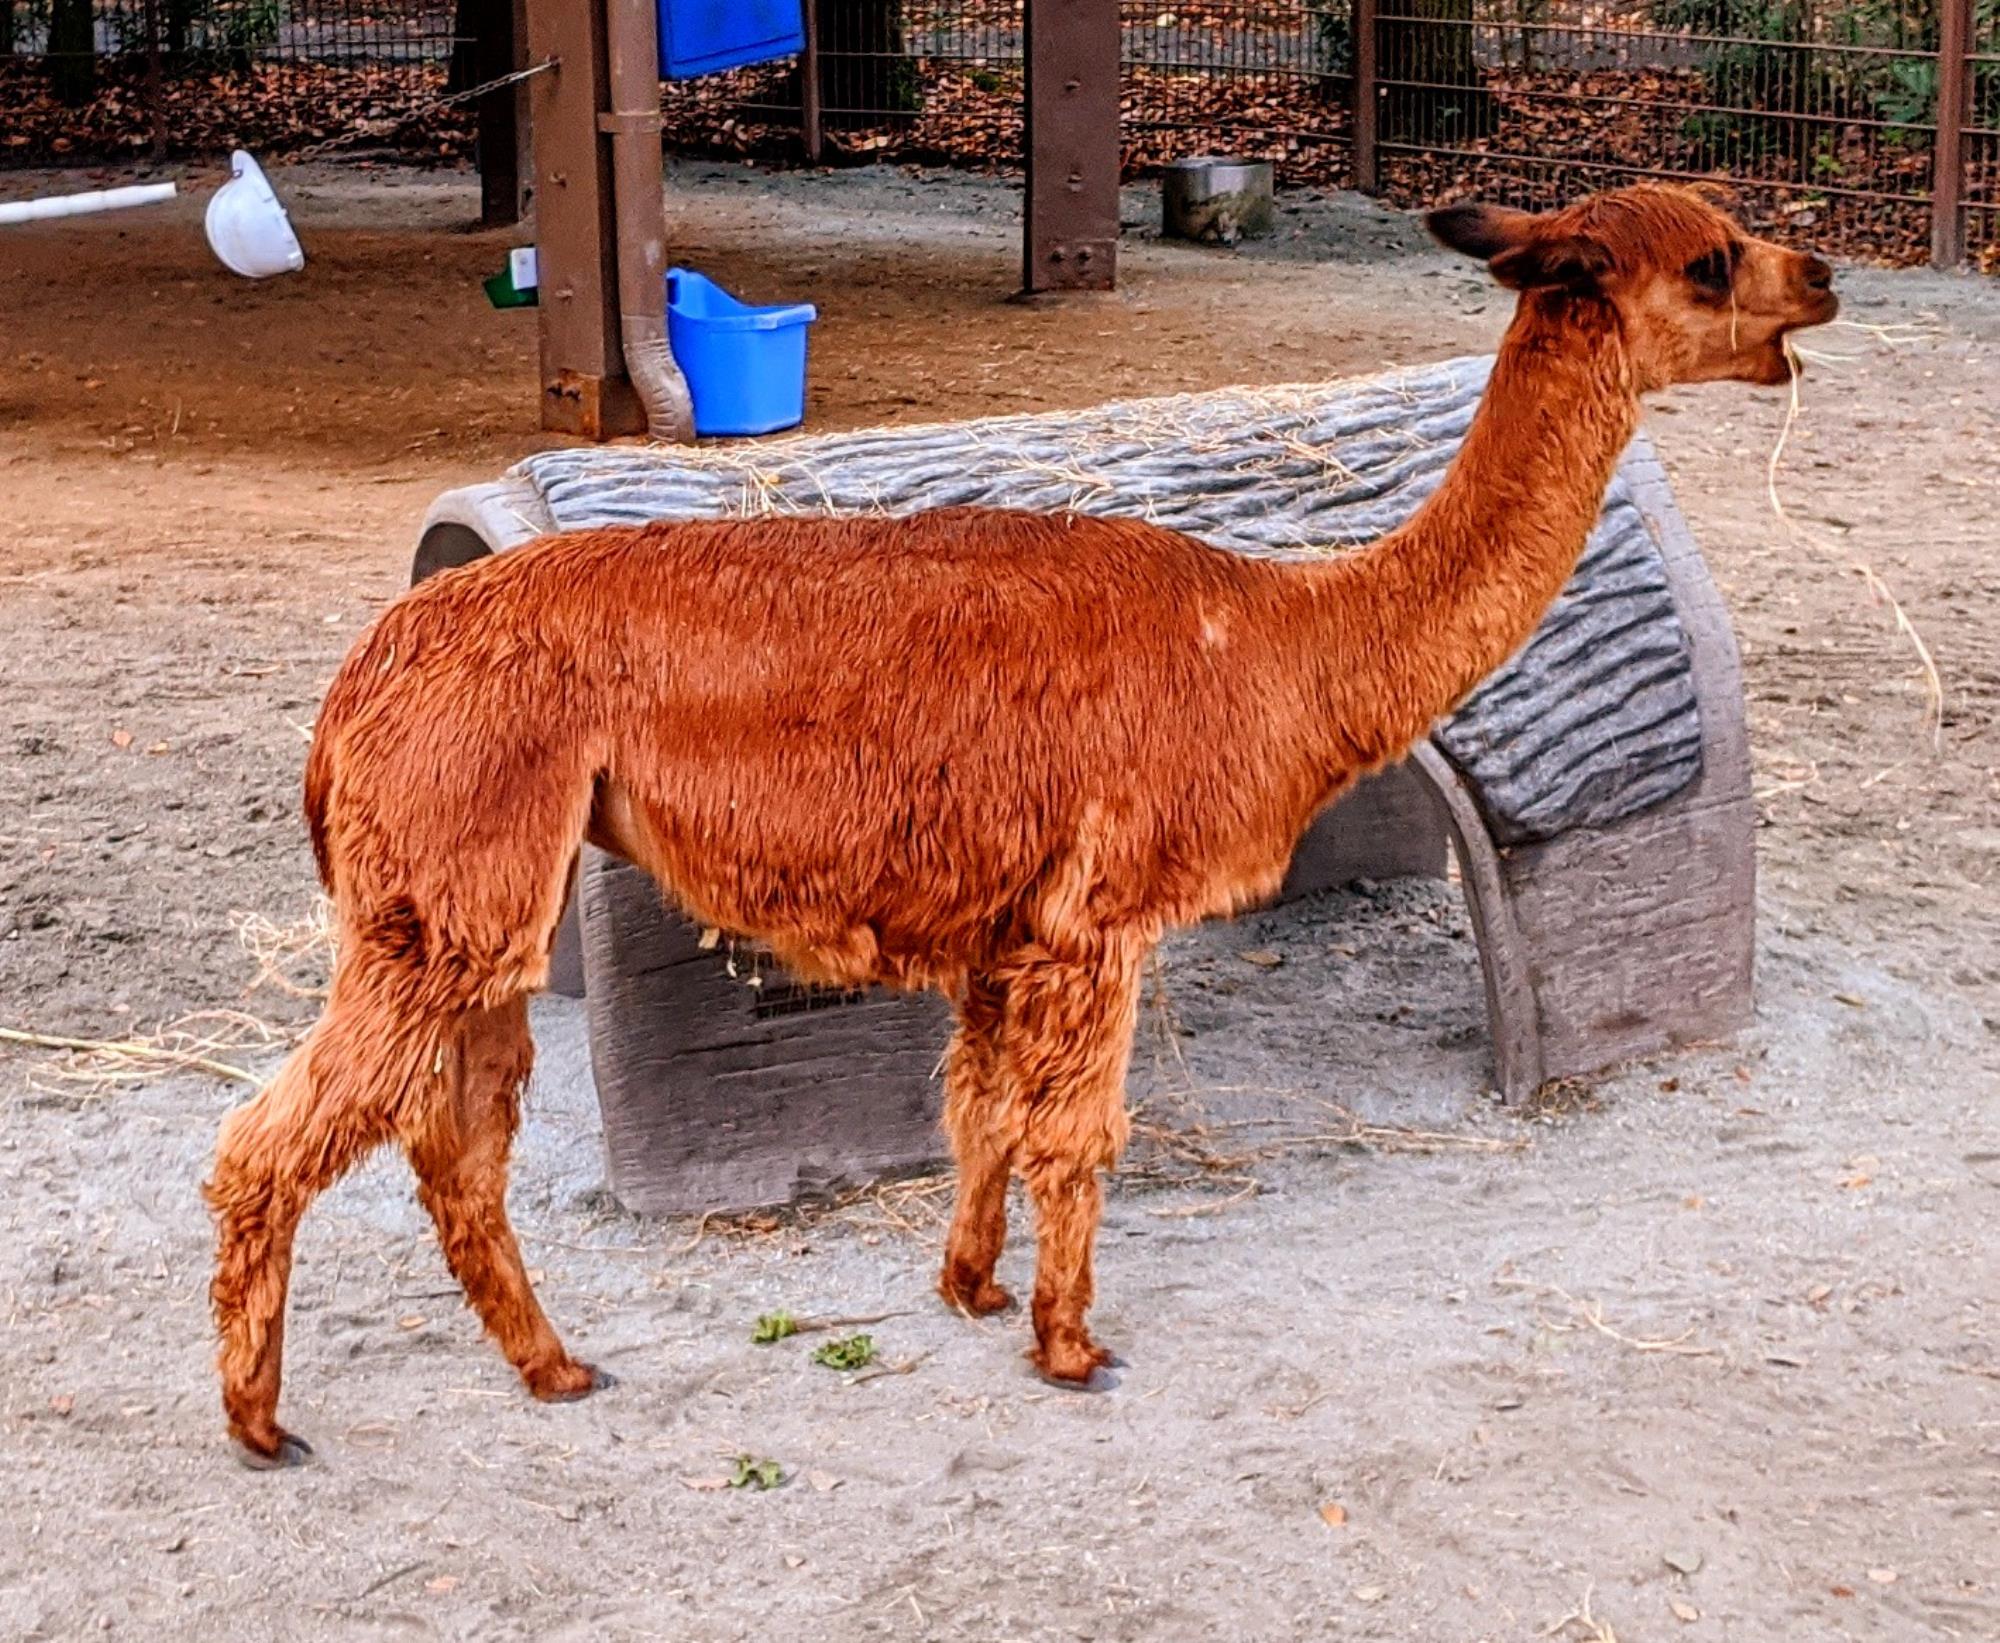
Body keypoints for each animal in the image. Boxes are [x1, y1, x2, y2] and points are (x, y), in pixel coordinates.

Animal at [205, 184, 1836, 1467]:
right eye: (1711, 257)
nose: (1821, 275)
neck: (1283, 642)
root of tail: (362, 674)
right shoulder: (1095, 914)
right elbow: (1079, 1132)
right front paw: (1068, 1347)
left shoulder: (1007, 925)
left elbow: (978, 1110)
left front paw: (973, 1290)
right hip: (449, 880)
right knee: (267, 1142)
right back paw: (263, 1424)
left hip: (482, 900)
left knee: (454, 1148)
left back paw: (552, 1368)